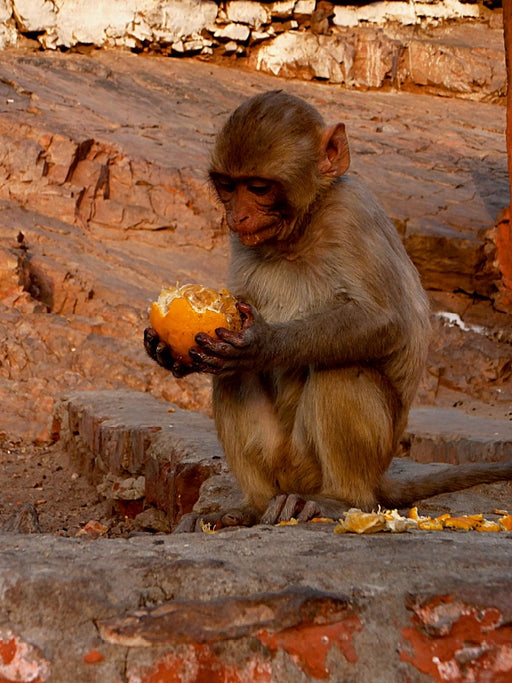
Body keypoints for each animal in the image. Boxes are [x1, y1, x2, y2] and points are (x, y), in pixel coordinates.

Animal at [143, 89, 512, 528]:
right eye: (228, 186)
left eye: (259, 187)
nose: (237, 215)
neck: (300, 230)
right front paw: (164, 351)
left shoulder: (352, 213)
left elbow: (384, 321)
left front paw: (262, 344)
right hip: (282, 462)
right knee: (230, 379)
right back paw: (252, 507)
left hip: (342, 461)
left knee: (343, 368)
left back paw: (339, 499)